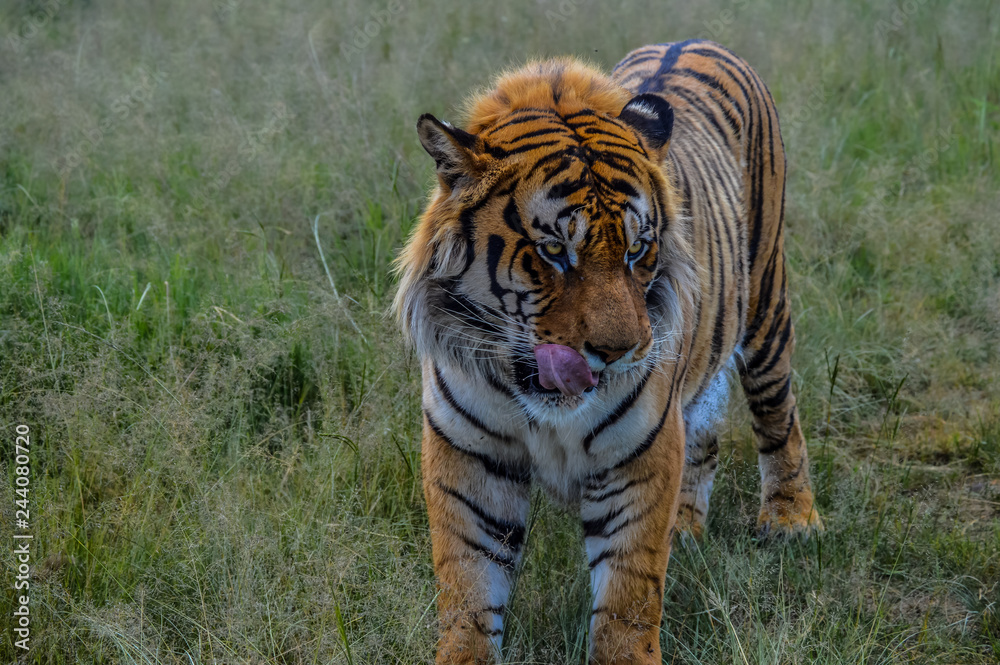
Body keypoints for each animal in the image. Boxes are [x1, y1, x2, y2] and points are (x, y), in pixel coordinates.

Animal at [393, 39, 822, 664]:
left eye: (638, 249)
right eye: (553, 251)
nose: (619, 351)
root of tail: (695, 39)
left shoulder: (639, 452)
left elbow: (627, 595)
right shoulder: (468, 452)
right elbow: (468, 586)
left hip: (767, 301)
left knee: (778, 412)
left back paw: (792, 519)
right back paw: (686, 529)